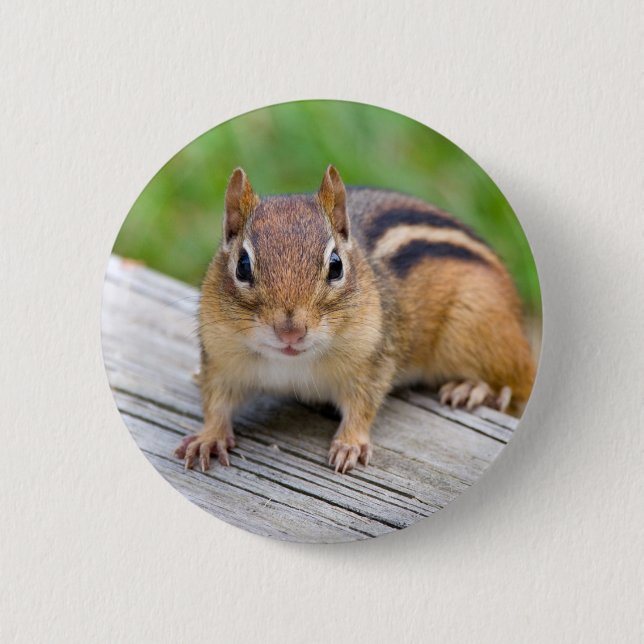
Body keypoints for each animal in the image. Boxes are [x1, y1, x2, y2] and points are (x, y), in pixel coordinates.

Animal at [174, 165, 536, 474]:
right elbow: (216, 402)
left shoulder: (372, 358)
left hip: (475, 331)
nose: (291, 332)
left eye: (335, 266)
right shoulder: (221, 358)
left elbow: (363, 405)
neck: (291, 364)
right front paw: (208, 437)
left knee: (514, 385)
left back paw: (473, 388)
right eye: (243, 266)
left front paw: (349, 444)